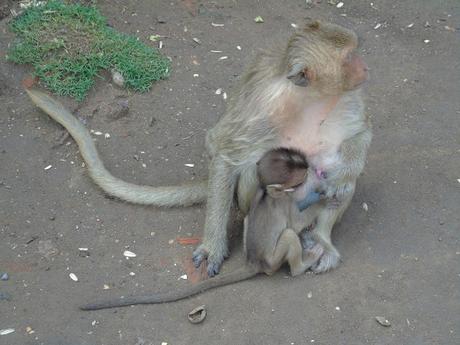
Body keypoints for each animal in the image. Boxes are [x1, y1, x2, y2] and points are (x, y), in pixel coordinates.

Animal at [25, 20, 372, 276]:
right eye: (348, 57)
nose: (365, 68)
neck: (311, 96)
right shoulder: (263, 107)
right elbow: (225, 153)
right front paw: (213, 246)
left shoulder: (348, 97)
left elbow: (360, 136)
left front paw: (343, 176)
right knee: (252, 170)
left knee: (332, 174)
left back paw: (322, 238)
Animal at [80, 148, 324, 310]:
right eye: (299, 181)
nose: (312, 172)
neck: (266, 193)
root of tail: (252, 263)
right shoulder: (286, 202)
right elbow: (297, 222)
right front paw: (323, 200)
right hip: (272, 261)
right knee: (290, 236)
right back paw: (303, 264)